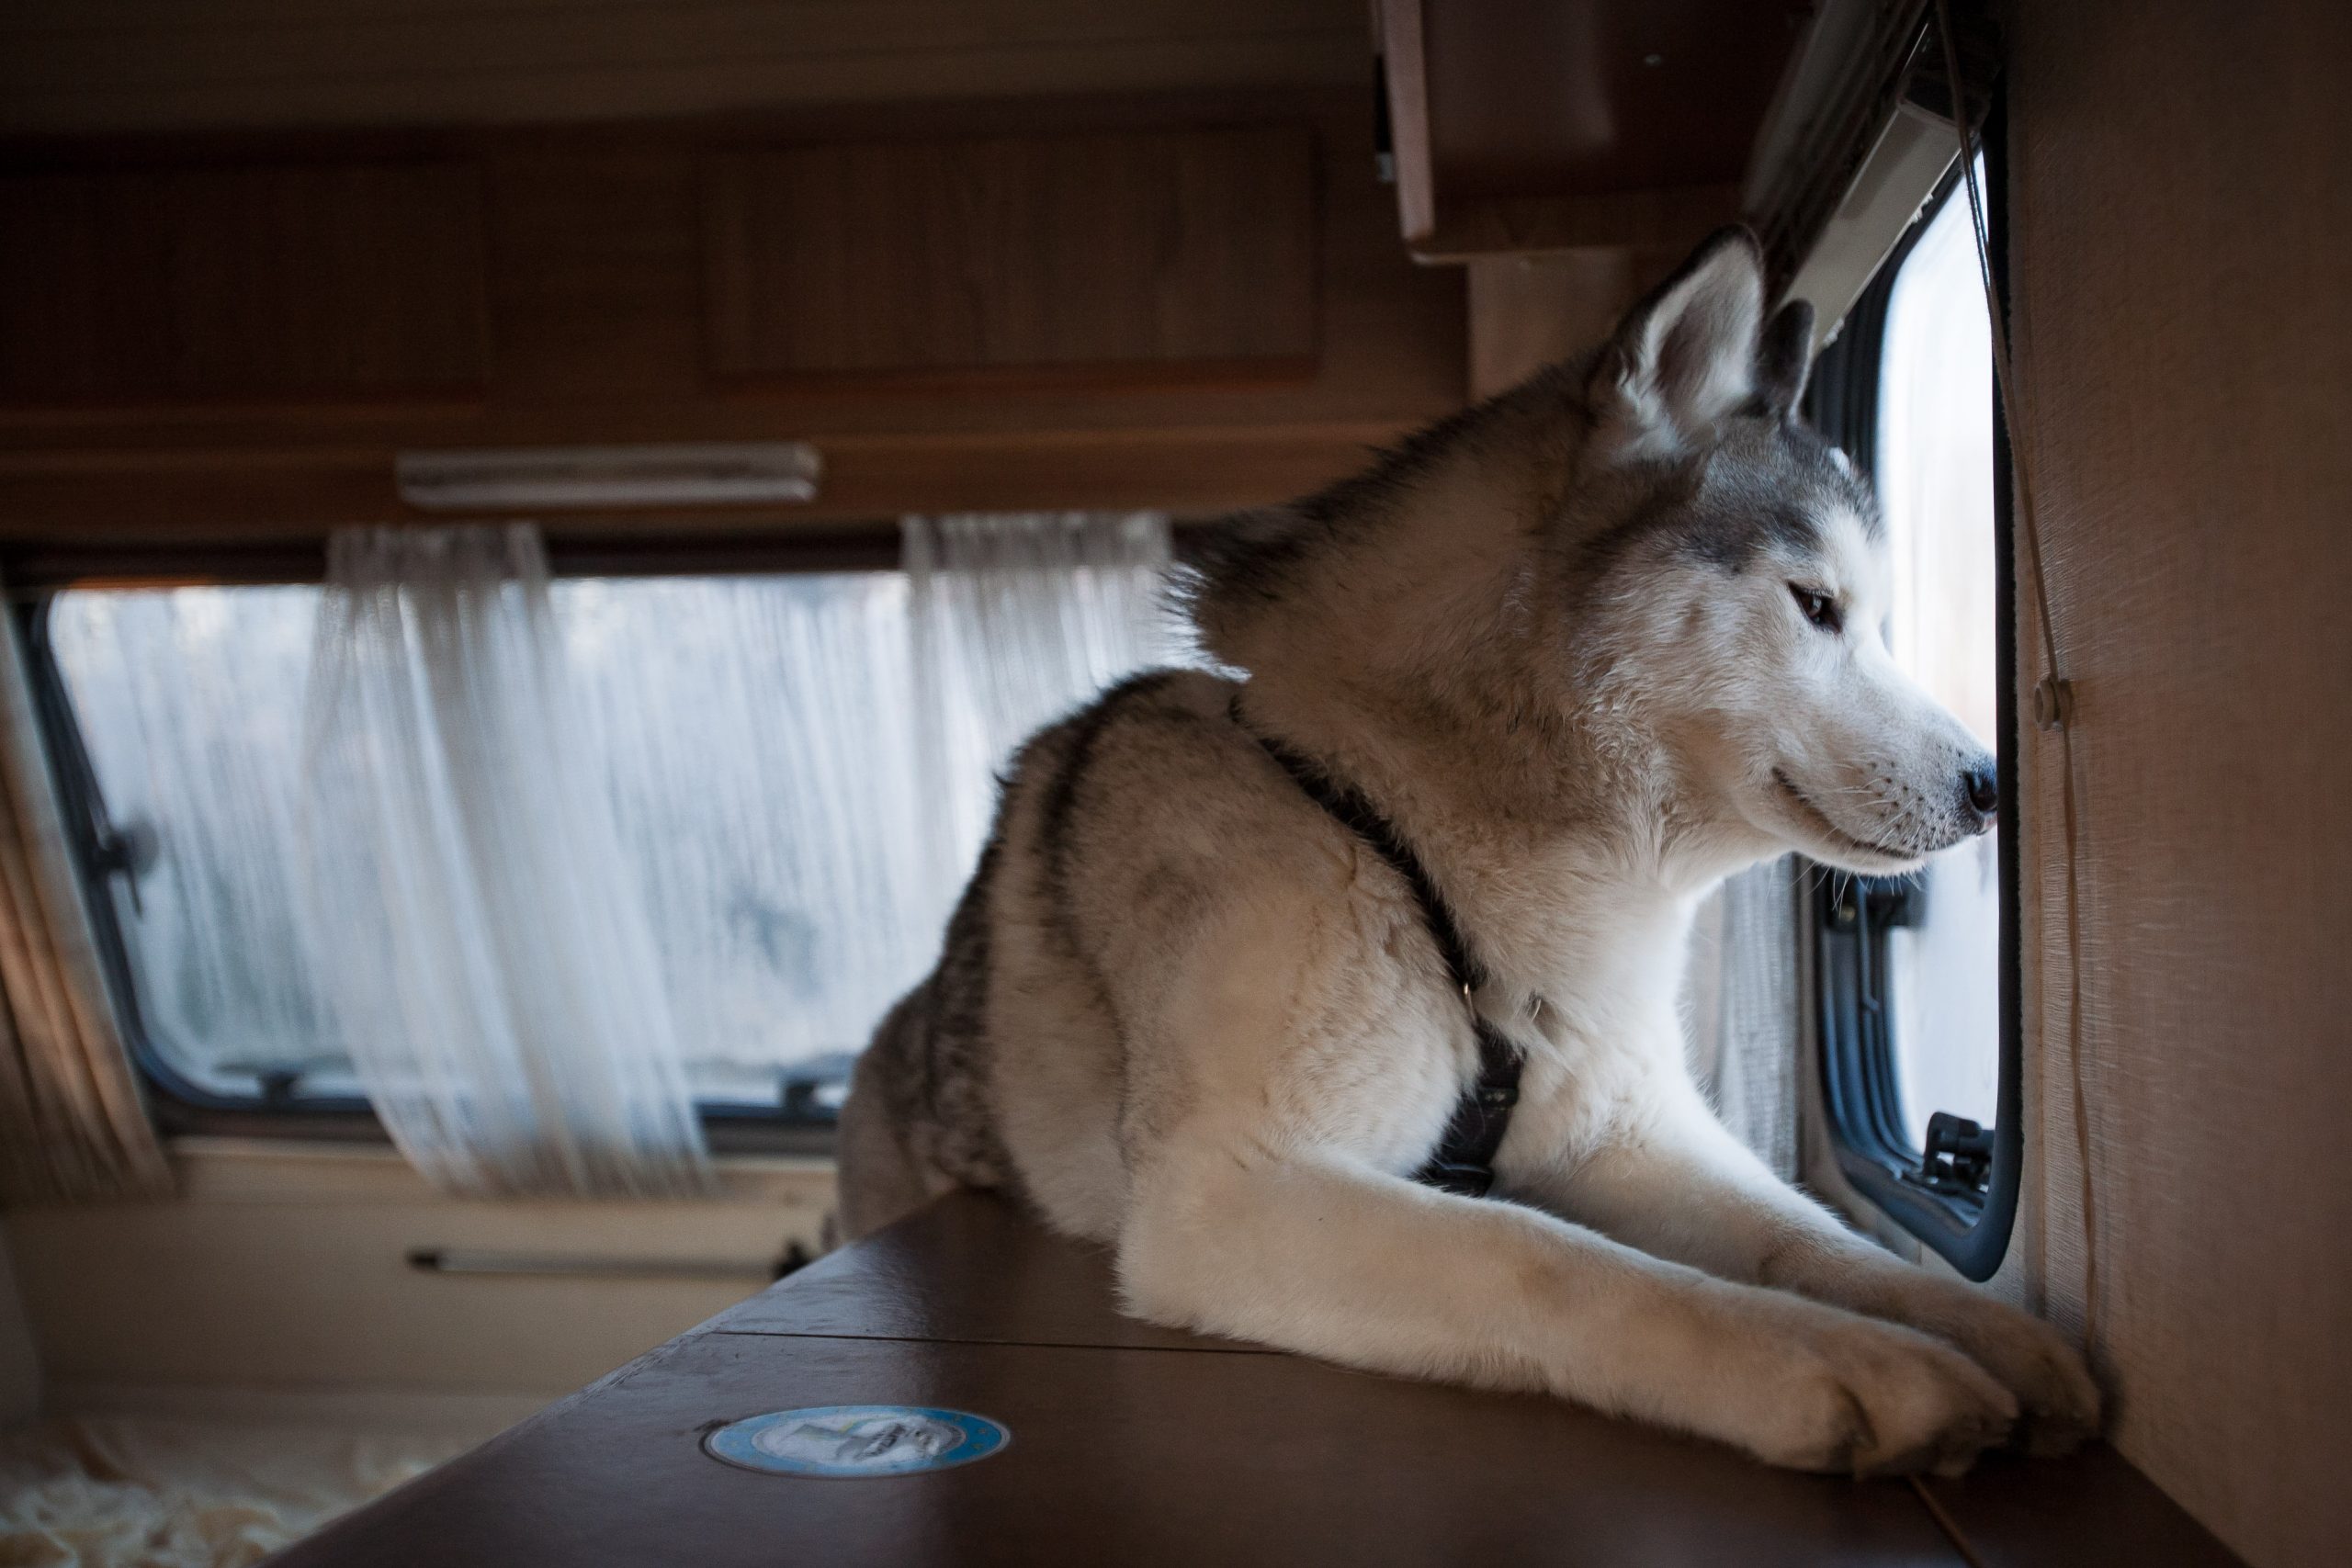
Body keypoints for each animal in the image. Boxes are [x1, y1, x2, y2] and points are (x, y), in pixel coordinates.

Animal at [842, 230, 2098, 1476]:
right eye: (1815, 605)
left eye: (1867, 615)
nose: (1988, 788)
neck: (1405, 841)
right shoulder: (1228, 1194)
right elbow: (1550, 1256)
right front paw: (1836, 1358)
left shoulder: (1625, 1132)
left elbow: (1810, 1236)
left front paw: (1974, 1326)